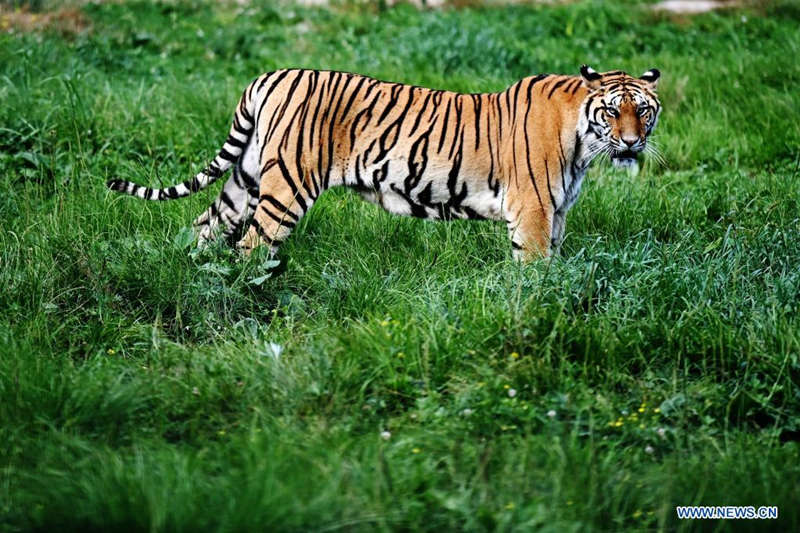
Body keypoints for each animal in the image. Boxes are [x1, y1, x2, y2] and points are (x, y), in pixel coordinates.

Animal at [108, 65, 664, 260]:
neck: (583, 143)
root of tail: (270, 75)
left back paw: (193, 274)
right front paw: (534, 307)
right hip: (286, 186)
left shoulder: (557, 212)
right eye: (613, 111)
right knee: (251, 246)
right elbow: (535, 268)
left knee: (204, 225)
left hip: (244, 179)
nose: (631, 143)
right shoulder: (533, 211)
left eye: (644, 112)